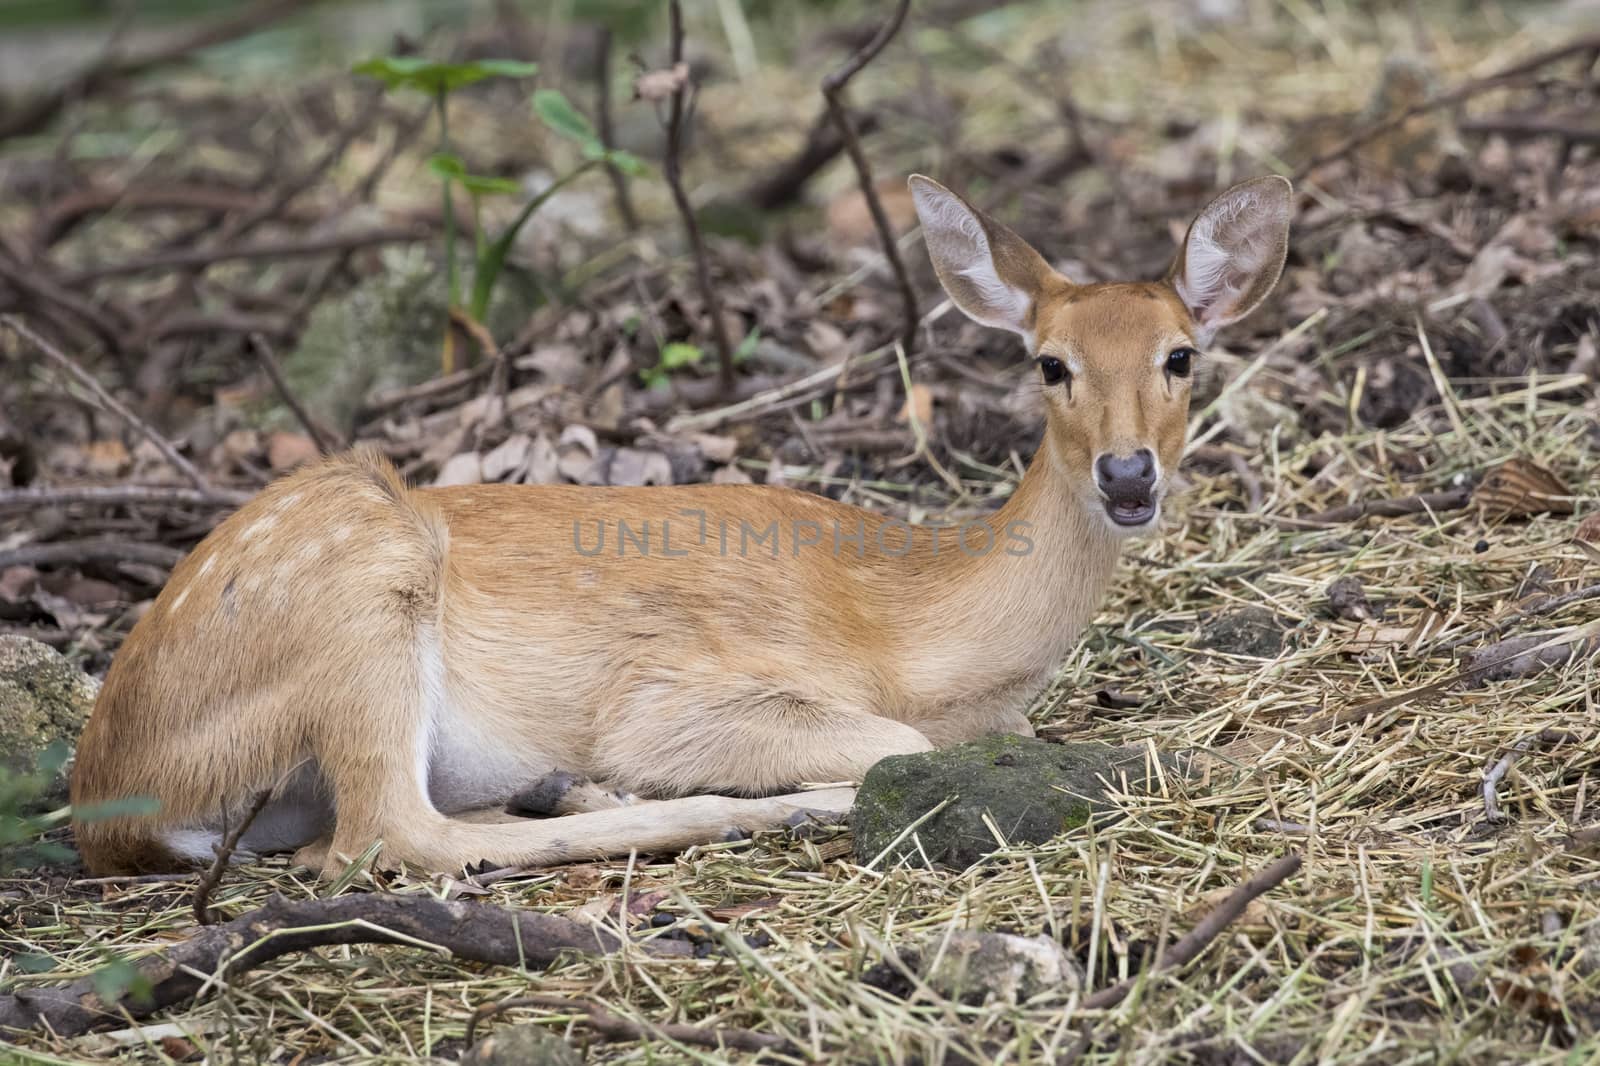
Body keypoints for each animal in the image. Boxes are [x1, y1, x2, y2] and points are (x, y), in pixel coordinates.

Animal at [75, 172, 1292, 870]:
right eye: (1050, 363)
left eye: (1182, 356)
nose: (1127, 475)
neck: (905, 631)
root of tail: (107, 795)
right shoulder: (677, 687)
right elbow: (895, 741)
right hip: (362, 593)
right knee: (390, 837)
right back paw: (728, 805)